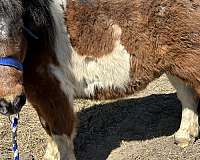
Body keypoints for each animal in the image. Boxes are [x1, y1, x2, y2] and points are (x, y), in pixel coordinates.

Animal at [0, 0, 200, 159]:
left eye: (18, 26)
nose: (10, 102)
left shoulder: (54, 93)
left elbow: (61, 133)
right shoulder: (39, 96)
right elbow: (50, 131)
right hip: (174, 64)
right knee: (186, 95)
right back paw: (184, 136)